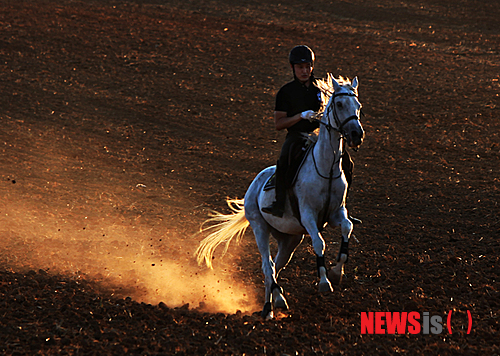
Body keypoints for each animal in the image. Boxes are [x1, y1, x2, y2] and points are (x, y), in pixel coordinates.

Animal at [197, 75, 366, 320]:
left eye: (358, 106)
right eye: (340, 104)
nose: (356, 135)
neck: (326, 168)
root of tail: (254, 185)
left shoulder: (336, 213)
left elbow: (347, 227)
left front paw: (336, 273)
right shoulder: (308, 216)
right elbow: (319, 243)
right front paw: (324, 282)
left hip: (290, 238)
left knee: (276, 266)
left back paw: (273, 303)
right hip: (260, 227)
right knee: (267, 266)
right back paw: (272, 304)